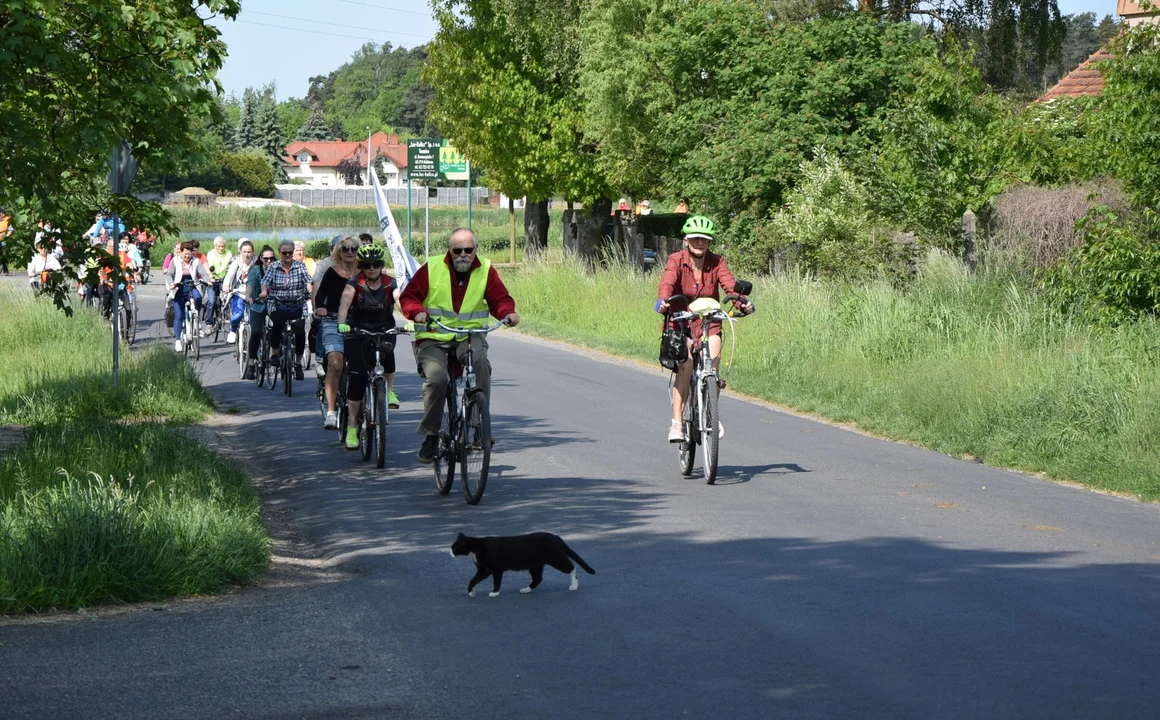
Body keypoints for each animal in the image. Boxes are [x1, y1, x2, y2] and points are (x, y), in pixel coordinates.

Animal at [450, 528, 593, 593]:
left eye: (454, 547)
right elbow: (474, 579)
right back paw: (526, 589)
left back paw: (574, 585)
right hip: (535, 565)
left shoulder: (495, 569)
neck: (476, 548)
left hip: (556, 559)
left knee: (572, 568)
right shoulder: (484, 569)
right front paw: (471, 591)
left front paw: (495, 593)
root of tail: (557, 538)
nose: (450, 552)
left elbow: (496, 581)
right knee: (538, 578)